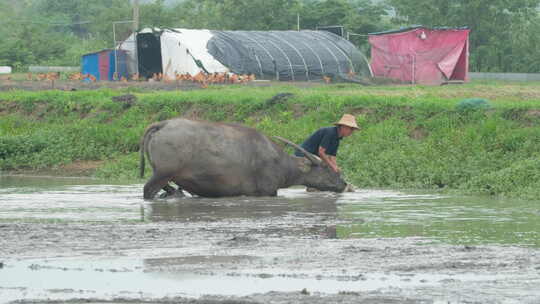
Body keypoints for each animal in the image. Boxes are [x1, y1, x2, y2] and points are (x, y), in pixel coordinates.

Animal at [139, 119, 346, 200]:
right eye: (327, 169)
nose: (343, 184)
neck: (281, 162)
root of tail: (163, 124)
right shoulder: (268, 191)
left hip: (164, 175)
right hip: (162, 174)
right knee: (148, 191)